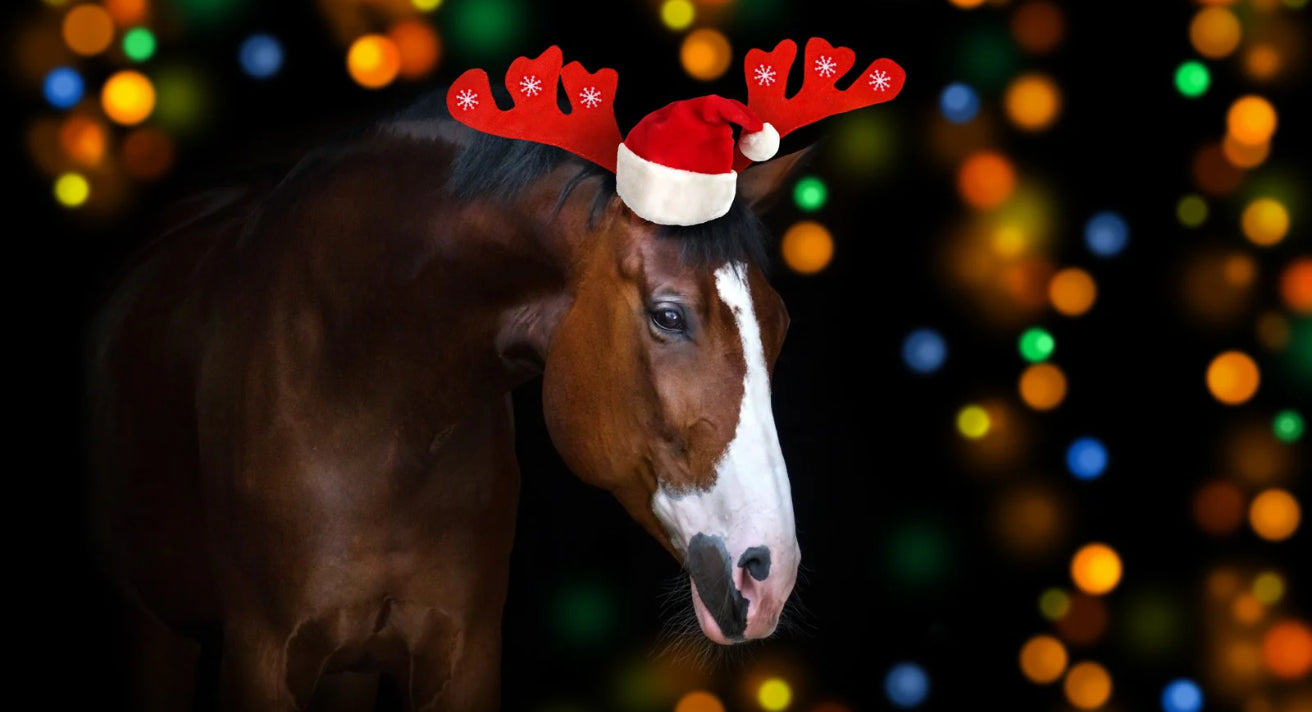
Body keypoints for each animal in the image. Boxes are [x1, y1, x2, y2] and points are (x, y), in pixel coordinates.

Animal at [85, 38, 903, 711]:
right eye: (670, 315)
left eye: (781, 324)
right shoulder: (261, 659)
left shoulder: (464, 655)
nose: (769, 573)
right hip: (154, 625)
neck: (364, 397)